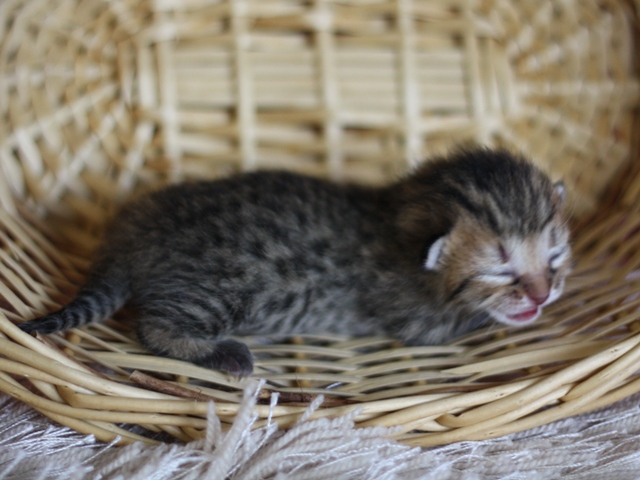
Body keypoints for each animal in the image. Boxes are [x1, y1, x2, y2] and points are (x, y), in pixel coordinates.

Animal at [18, 148, 568, 376]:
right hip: (224, 288)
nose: (544, 293)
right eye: (500, 268)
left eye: (555, 255)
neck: (397, 213)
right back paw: (224, 354)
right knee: (154, 326)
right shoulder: (419, 322)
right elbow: (475, 320)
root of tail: (134, 228)